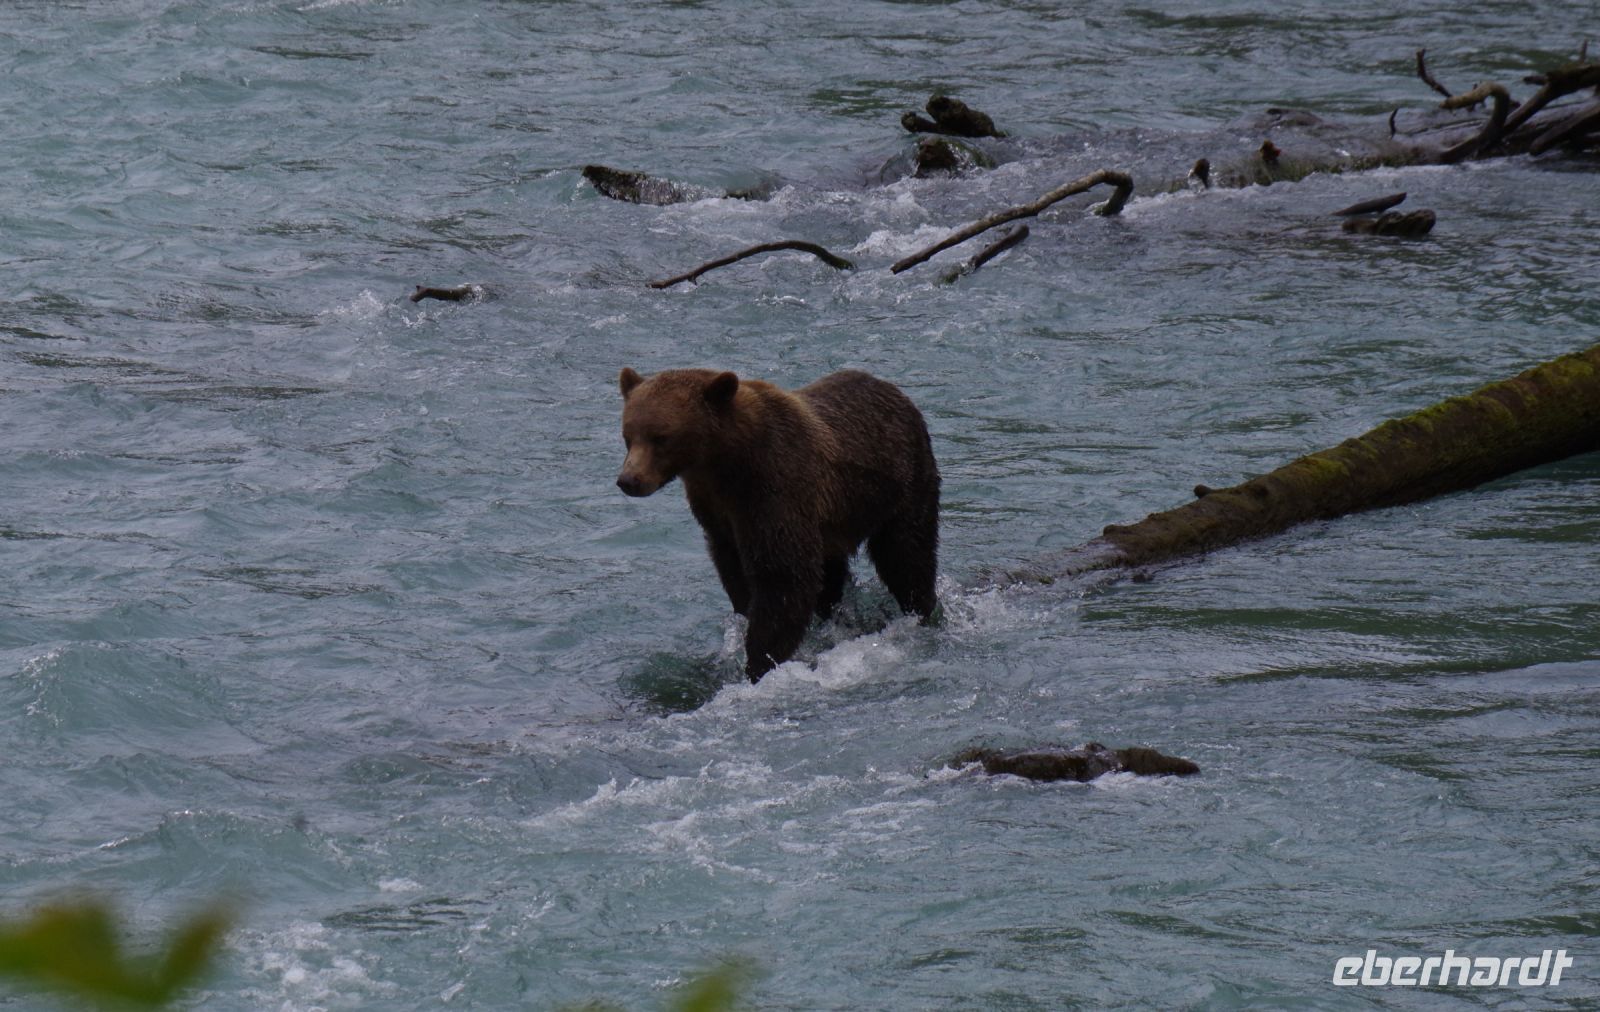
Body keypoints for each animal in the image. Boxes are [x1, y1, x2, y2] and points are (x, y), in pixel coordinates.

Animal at [616, 367, 940, 682]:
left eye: (661, 437)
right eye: (628, 435)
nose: (629, 480)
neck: (724, 464)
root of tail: (895, 392)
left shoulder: (775, 489)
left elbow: (783, 576)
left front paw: (760, 660)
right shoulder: (716, 514)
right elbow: (735, 572)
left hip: (900, 485)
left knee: (907, 554)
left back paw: (920, 609)